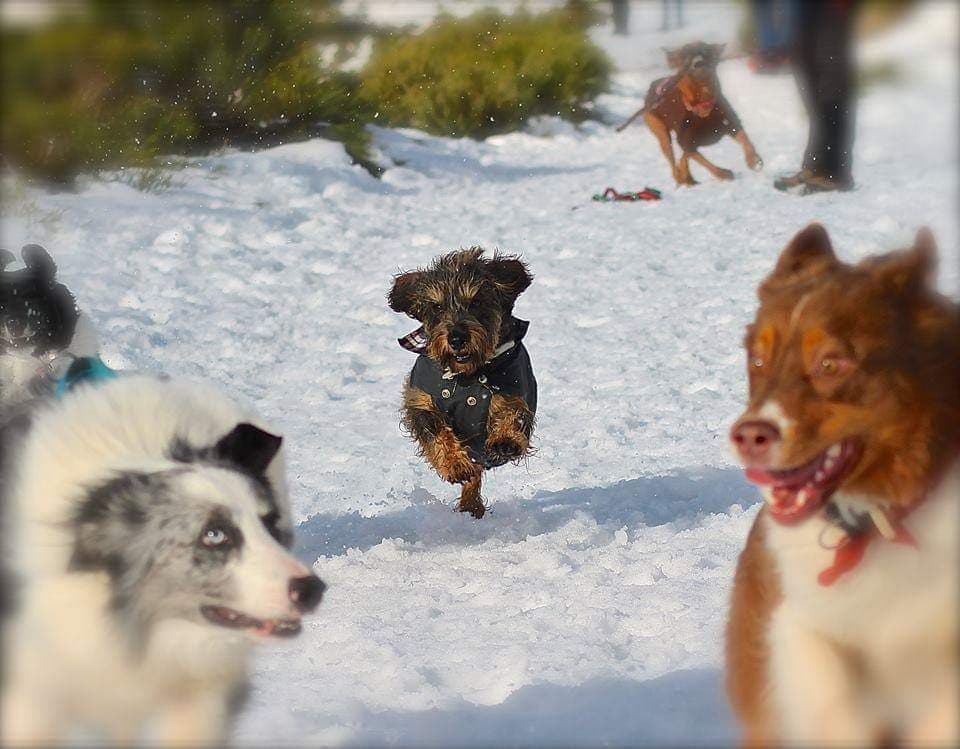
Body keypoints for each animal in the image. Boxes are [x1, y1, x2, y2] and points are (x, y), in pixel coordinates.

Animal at [390, 248, 540, 516]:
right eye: (437, 307)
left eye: (476, 302)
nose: (457, 338)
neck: (467, 376)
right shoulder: (420, 401)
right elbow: (435, 431)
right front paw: (455, 464)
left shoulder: (513, 389)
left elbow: (513, 413)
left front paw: (506, 440)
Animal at [616, 42, 764, 187]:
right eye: (684, 56)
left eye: (706, 51)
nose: (698, 63)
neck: (703, 105)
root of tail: (651, 88)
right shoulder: (686, 142)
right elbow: (701, 159)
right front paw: (722, 173)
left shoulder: (731, 123)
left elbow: (745, 139)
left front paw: (752, 159)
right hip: (660, 131)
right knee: (672, 158)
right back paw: (681, 177)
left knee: (682, 158)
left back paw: (687, 176)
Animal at [728, 225, 960, 744]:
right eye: (758, 360)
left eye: (831, 363)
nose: (750, 436)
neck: (880, 521)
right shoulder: (796, 619)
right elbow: (829, 691)